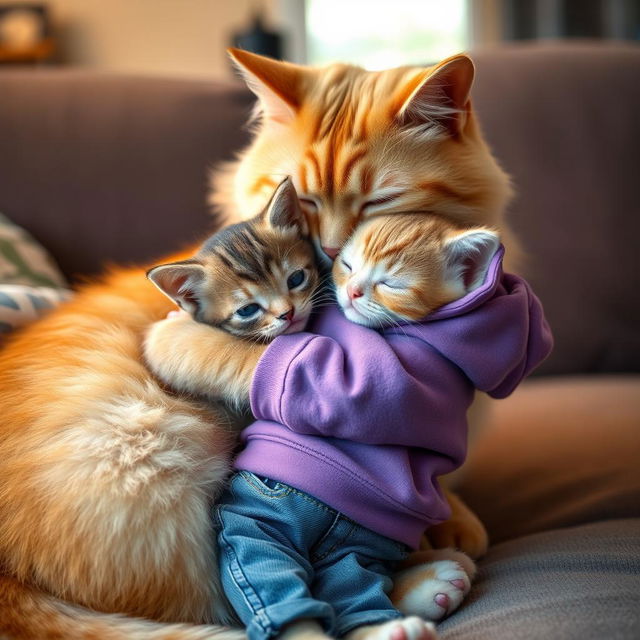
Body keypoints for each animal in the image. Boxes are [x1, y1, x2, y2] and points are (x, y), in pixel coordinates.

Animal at [0, 51, 510, 640]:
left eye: (380, 203)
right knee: (249, 595)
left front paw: (451, 513)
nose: (332, 256)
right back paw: (420, 592)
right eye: (304, 200)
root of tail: (12, 574)